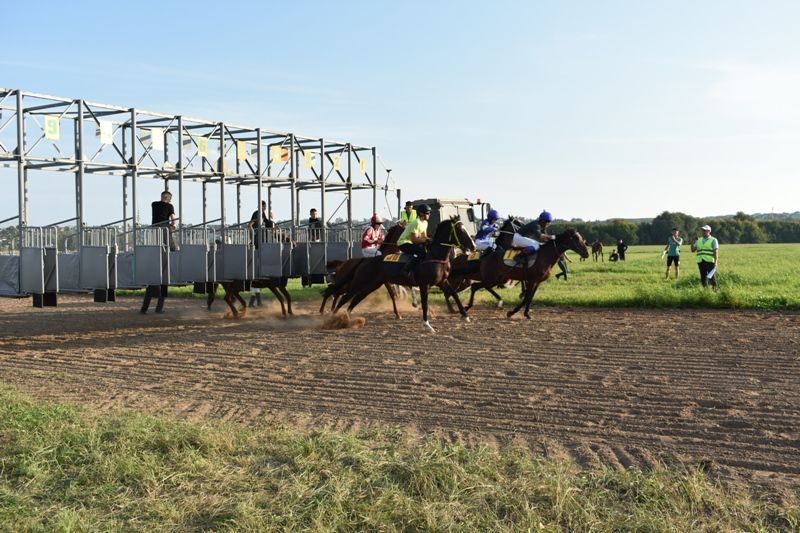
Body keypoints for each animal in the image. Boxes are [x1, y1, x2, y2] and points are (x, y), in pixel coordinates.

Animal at [332, 217, 476, 332]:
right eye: (460, 230)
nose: (473, 246)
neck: (434, 256)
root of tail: (365, 260)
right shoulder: (424, 284)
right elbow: (424, 303)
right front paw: (427, 324)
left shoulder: (442, 281)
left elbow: (455, 294)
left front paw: (465, 315)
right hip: (360, 281)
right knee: (344, 296)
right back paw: (333, 316)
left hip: (372, 284)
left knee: (355, 299)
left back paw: (345, 318)